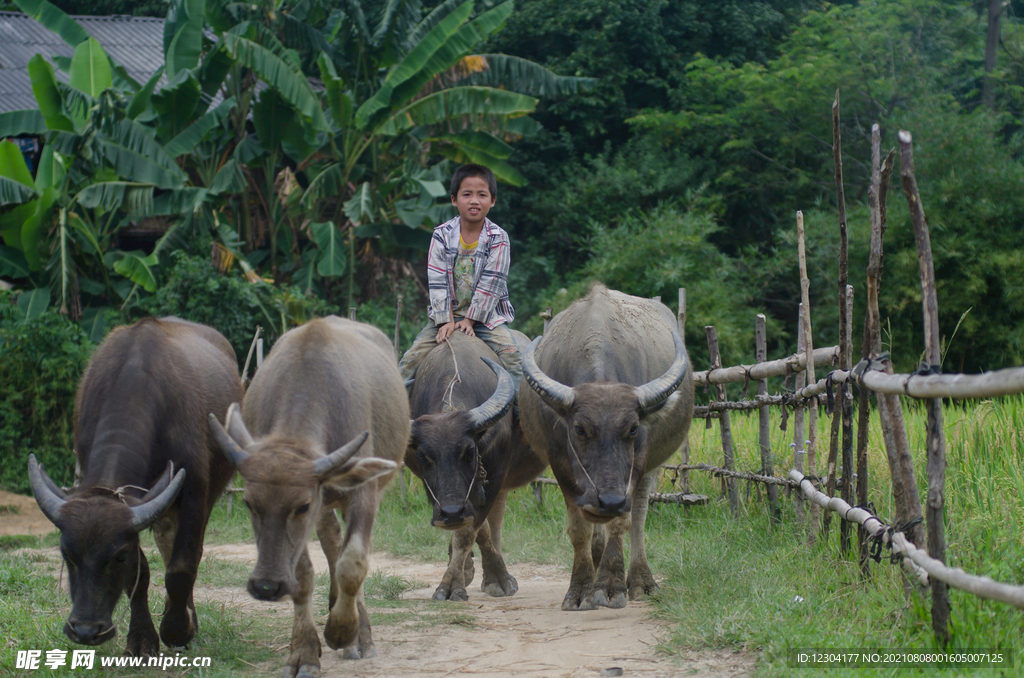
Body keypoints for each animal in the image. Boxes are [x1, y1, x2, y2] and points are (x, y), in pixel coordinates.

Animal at [29, 319, 240, 659]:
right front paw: (141, 640)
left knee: (188, 555)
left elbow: (182, 568)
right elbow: (140, 576)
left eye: (116, 557)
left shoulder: (194, 492)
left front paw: (177, 630)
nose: (86, 631)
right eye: (67, 555)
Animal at [208, 315, 407, 675]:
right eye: (249, 504)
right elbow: (302, 575)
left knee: (344, 551)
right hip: (328, 504)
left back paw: (359, 637)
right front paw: (304, 653)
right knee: (331, 539)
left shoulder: (360, 494)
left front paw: (342, 631)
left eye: (301, 506)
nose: (266, 586)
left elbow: (353, 563)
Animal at [407, 331, 552, 602]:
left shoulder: (493, 477)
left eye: (469, 452)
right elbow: (475, 527)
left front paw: (459, 584)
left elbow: (468, 533)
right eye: (424, 458)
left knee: (496, 519)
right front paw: (462, 574)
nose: (451, 512)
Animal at [520, 284, 696, 614]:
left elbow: (622, 522)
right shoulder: (561, 466)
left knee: (638, 517)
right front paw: (580, 590)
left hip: (649, 469)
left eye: (633, 429)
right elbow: (580, 529)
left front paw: (612, 587)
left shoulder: (635, 467)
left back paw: (641, 581)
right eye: (579, 429)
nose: (611, 500)